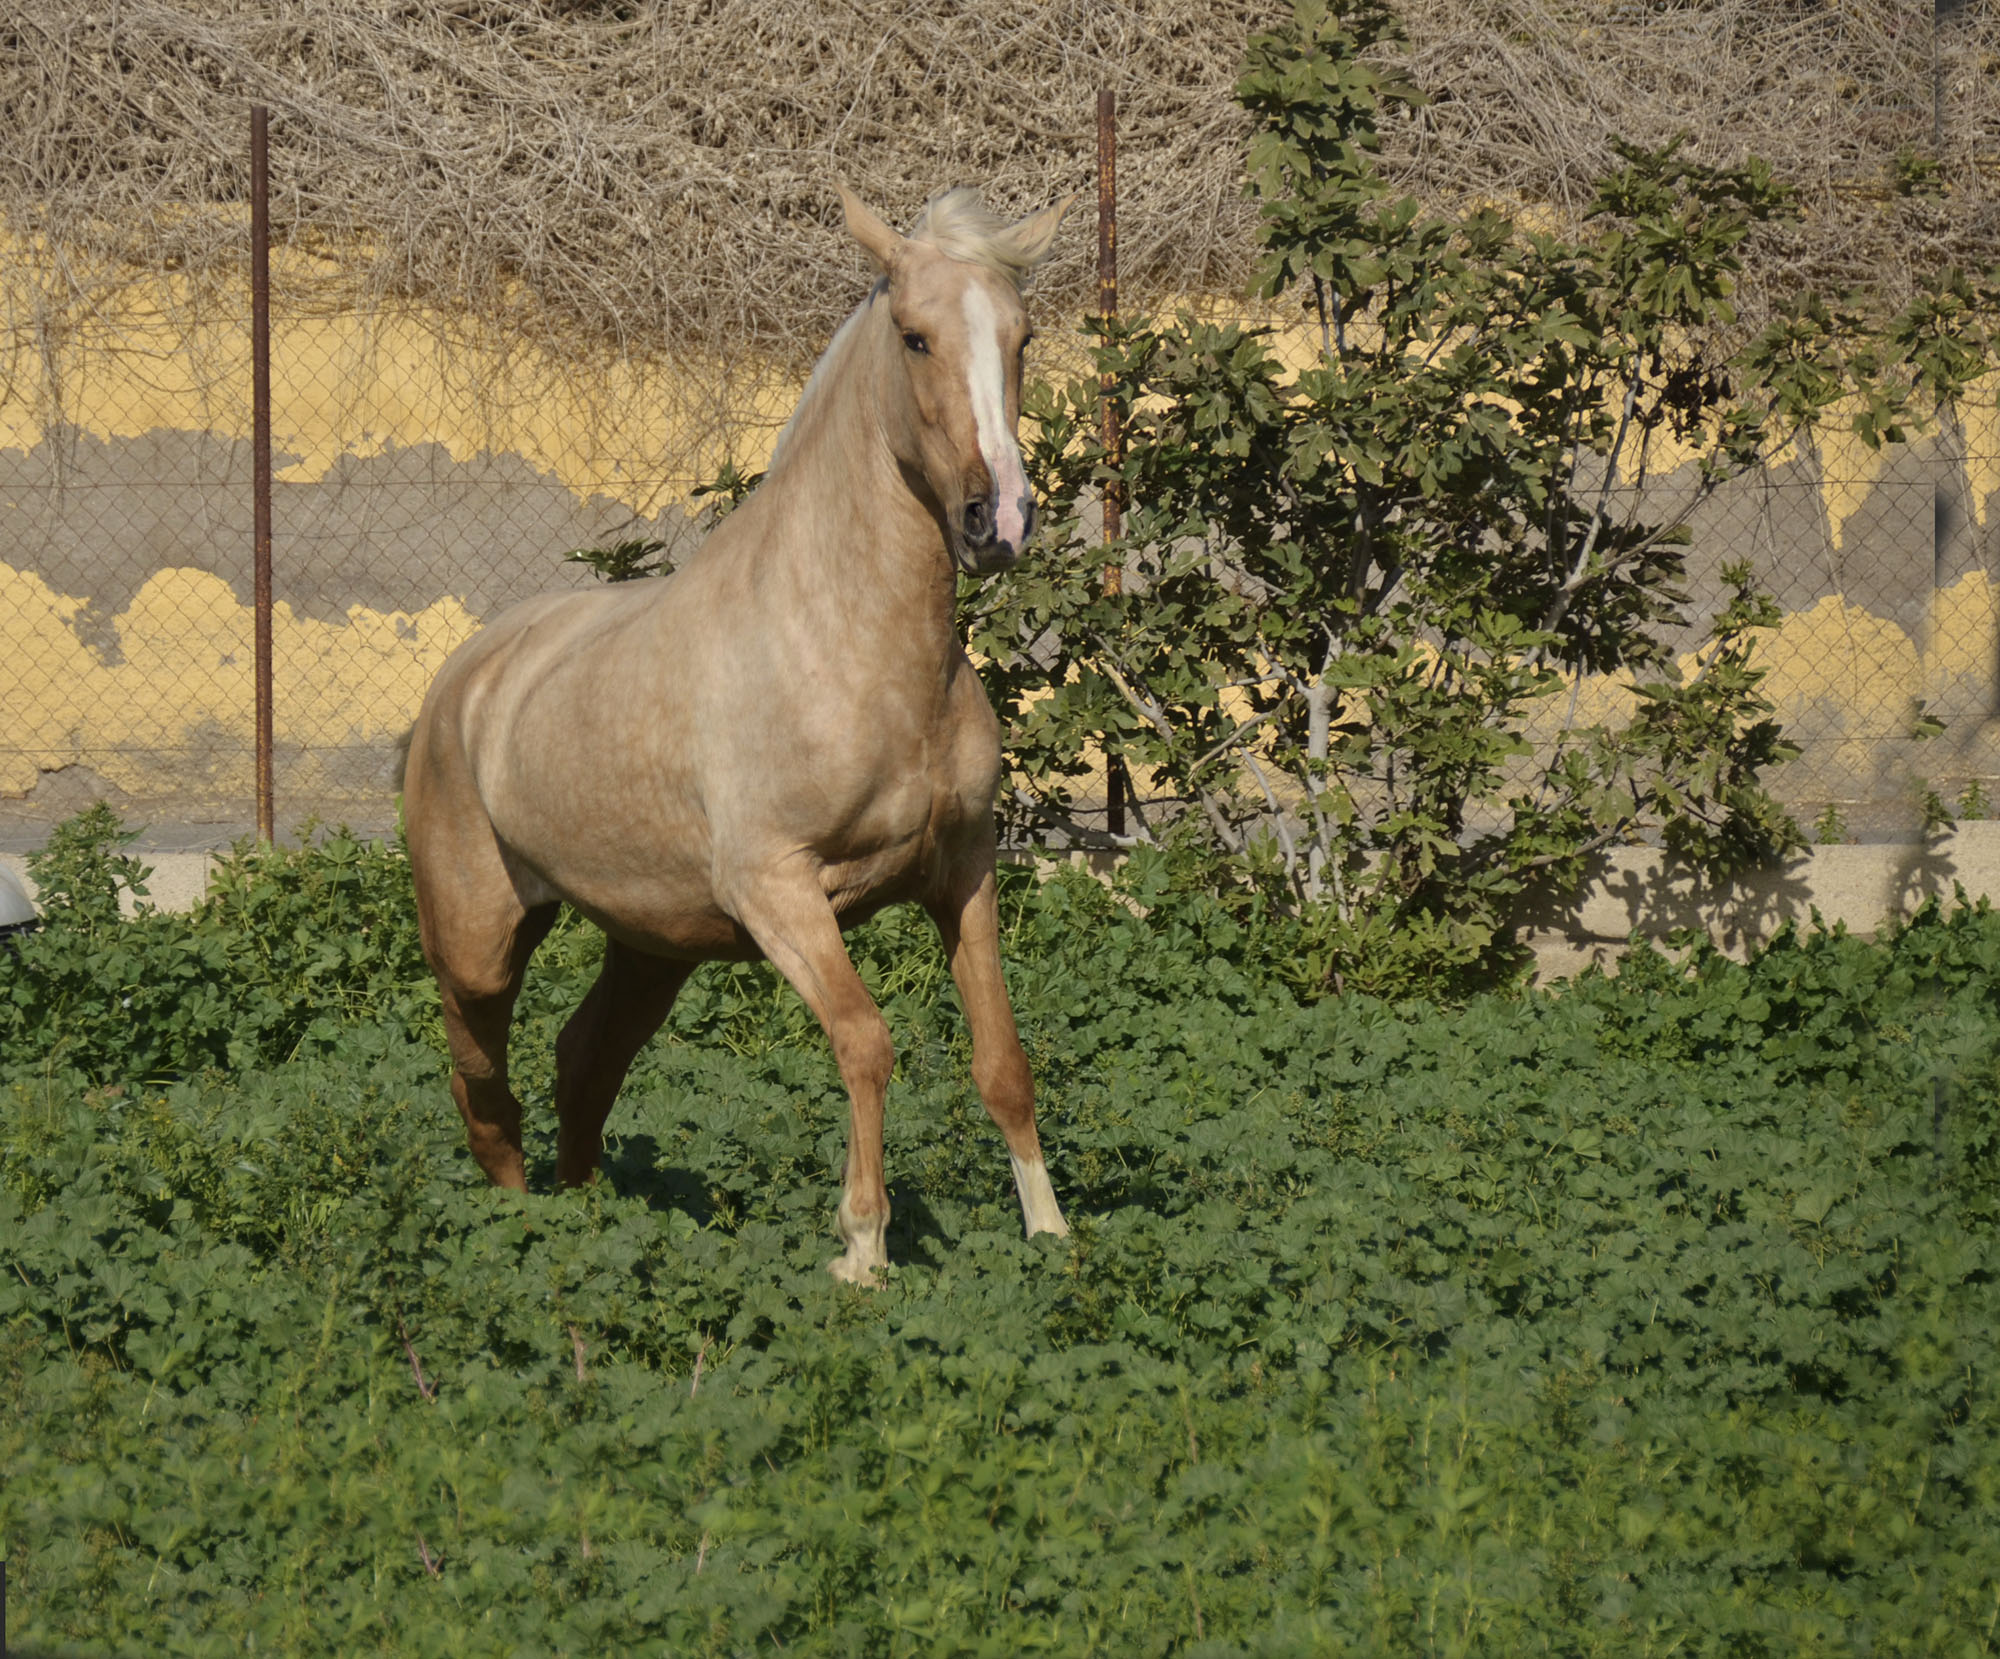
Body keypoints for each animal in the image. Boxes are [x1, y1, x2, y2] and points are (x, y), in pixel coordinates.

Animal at [404, 191, 1080, 1287]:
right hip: (475, 945)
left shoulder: (962, 872)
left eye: (1022, 338)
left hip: (650, 948)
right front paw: (862, 1251)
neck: (846, 642)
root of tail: (465, 678)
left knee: (582, 1062)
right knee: (483, 1090)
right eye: (914, 337)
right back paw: (524, 1237)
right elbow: (865, 1043)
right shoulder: (778, 890)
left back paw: (589, 1218)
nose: (1000, 522)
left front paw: (1050, 1234)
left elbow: (1003, 1060)